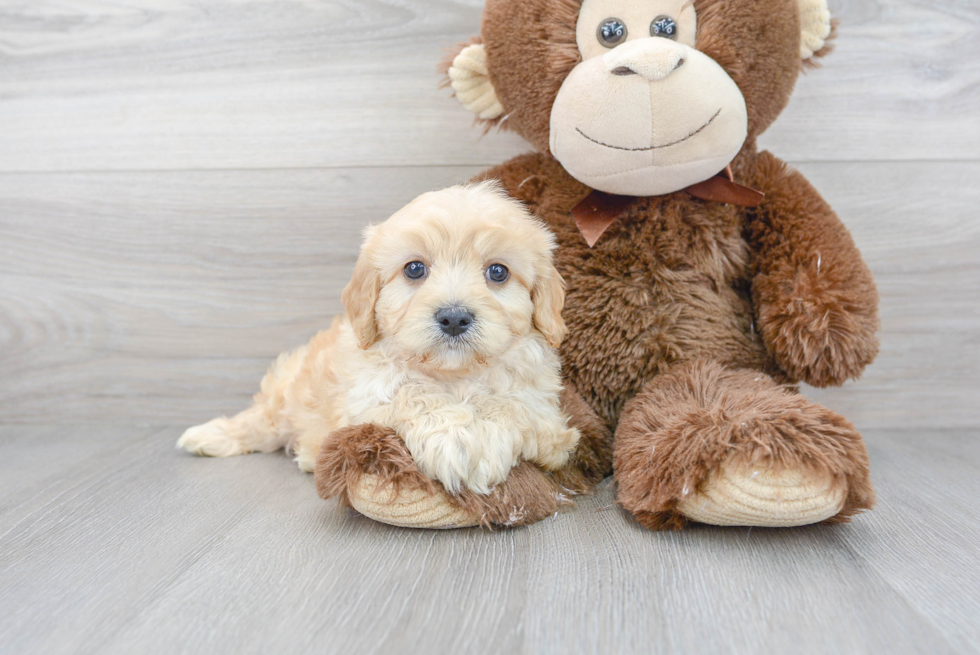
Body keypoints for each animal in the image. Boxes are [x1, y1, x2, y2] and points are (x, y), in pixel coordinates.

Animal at [177, 182, 580, 494]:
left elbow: (511, 403)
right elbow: (409, 392)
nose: (453, 317)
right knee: (260, 423)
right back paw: (211, 436)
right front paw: (453, 438)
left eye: (498, 272)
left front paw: (481, 440)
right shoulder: (363, 396)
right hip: (284, 395)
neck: (453, 376)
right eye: (414, 269)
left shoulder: (547, 417)